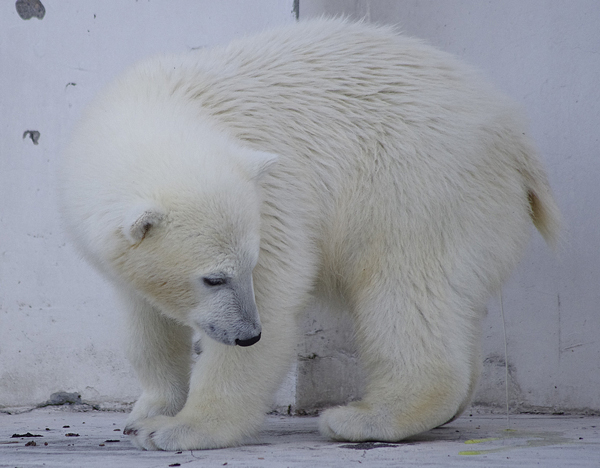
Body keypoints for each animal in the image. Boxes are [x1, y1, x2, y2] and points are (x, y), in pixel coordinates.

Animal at [58, 18, 560, 450]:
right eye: (213, 278)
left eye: (248, 265)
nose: (248, 334)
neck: (168, 105)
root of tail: (518, 142)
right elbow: (146, 322)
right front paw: (146, 412)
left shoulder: (276, 198)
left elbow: (277, 292)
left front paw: (179, 429)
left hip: (417, 184)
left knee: (407, 290)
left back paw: (364, 418)